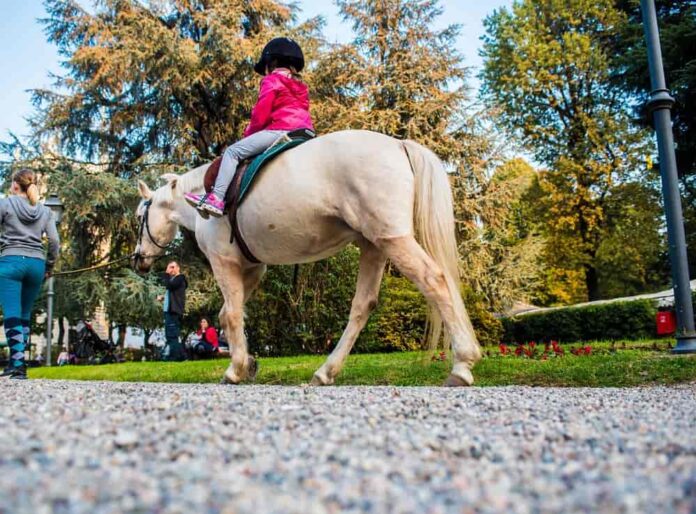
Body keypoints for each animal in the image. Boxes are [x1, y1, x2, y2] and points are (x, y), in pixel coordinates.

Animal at [133, 130, 481, 386]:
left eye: (139, 216)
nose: (138, 259)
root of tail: (398, 144)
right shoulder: (252, 269)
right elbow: (231, 314)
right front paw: (247, 362)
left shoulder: (224, 262)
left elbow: (230, 315)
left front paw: (235, 369)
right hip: (374, 246)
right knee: (363, 306)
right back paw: (326, 371)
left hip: (393, 240)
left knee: (435, 281)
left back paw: (462, 365)